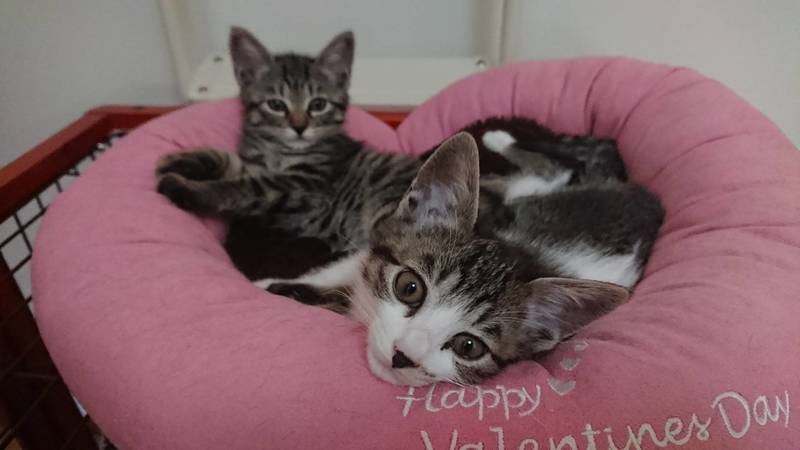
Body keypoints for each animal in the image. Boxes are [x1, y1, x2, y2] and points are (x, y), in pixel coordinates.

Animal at [257, 132, 663, 386]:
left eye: (469, 347)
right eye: (409, 287)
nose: (403, 355)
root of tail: (647, 197)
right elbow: (339, 270)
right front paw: (268, 284)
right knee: (550, 170)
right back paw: (498, 138)